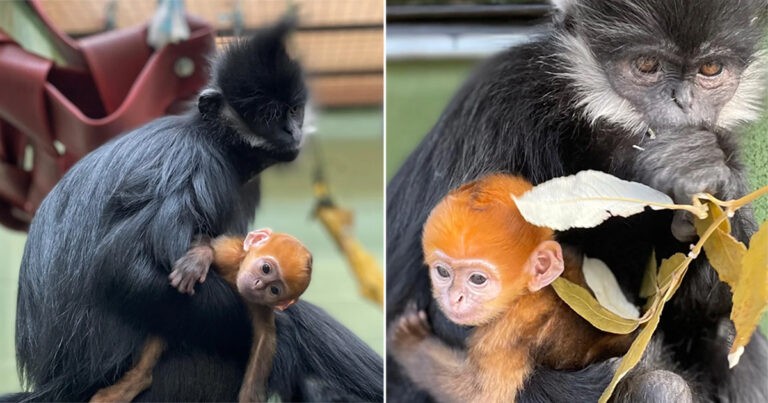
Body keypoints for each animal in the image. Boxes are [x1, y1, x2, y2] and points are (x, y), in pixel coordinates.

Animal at [92, 229, 312, 403]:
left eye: (274, 290)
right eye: (266, 268)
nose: (259, 285)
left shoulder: (260, 305)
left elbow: (264, 340)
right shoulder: (228, 252)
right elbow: (207, 242)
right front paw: (198, 259)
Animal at [390, 174, 636, 403]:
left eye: (477, 279)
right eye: (443, 272)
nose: (454, 297)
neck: (531, 292)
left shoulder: (505, 333)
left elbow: (481, 393)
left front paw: (410, 343)